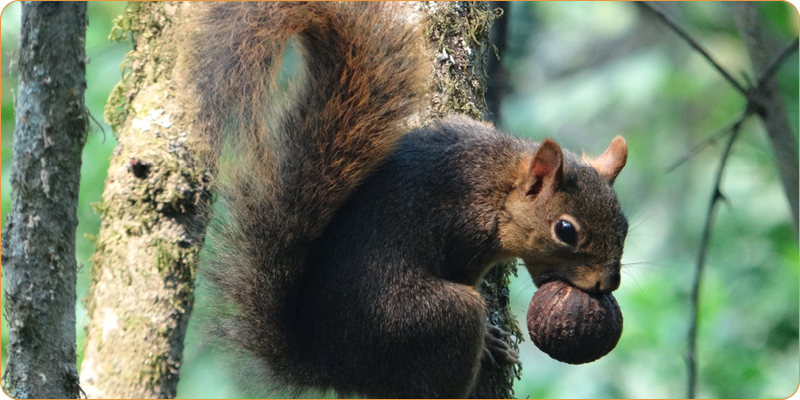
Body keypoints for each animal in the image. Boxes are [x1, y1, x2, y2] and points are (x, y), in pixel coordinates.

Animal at [181, 1, 632, 398]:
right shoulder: (464, 234)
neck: (497, 182)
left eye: (625, 225)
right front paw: (491, 338)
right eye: (565, 230)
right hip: (434, 319)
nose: (608, 283)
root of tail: (332, 366)